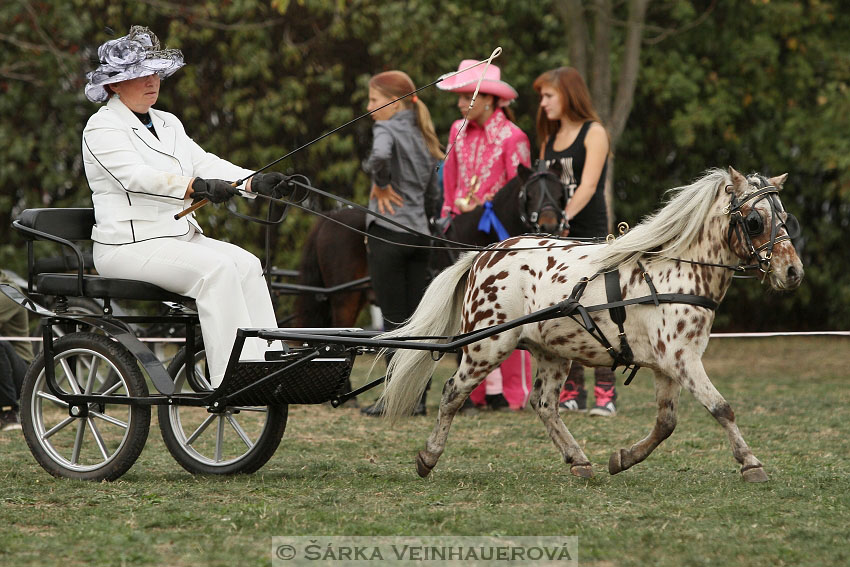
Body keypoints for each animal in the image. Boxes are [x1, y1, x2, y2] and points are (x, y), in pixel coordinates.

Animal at [378, 169, 800, 484]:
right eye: (755, 220)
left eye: (784, 218)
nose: (793, 271)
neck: (676, 271)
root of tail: (485, 255)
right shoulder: (682, 360)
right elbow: (721, 408)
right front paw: (751, 463)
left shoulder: (670, 365)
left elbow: (666, 423)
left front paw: (623, 458)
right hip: (487, 346)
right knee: (453, 392)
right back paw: (428, 457)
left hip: (552, 354)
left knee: (544, 404)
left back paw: (578, 460)